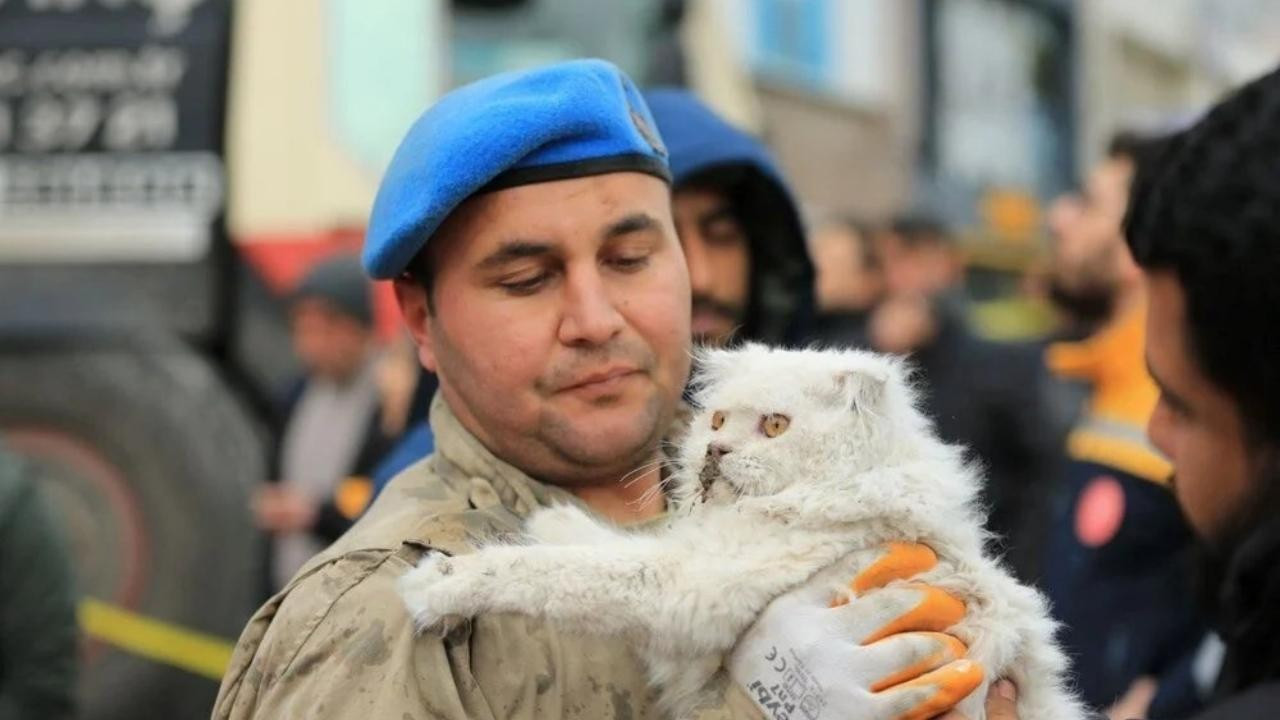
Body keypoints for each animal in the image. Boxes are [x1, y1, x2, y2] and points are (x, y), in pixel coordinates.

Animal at [394, 345, 1085, 712]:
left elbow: (549, 572)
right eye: (719, 420)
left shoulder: (685, 589)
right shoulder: (689, 560)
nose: (714, 452)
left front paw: (438, 584)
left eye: (775, 426)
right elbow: (598, 544)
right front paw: (553, 516)